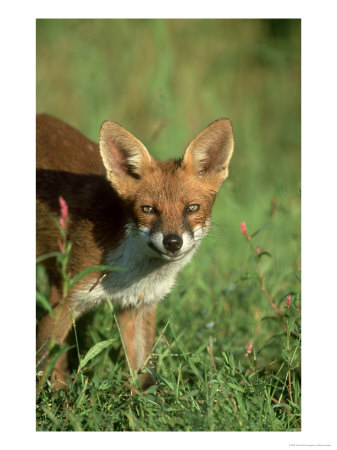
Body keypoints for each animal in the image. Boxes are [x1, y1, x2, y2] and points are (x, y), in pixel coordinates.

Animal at [35, 114, 232, 388]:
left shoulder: (139, 305)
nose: (173, 242)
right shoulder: (64, 300)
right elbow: (41, 364)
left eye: (192, 208)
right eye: (148, 209)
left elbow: (143, 375)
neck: (127, 273)